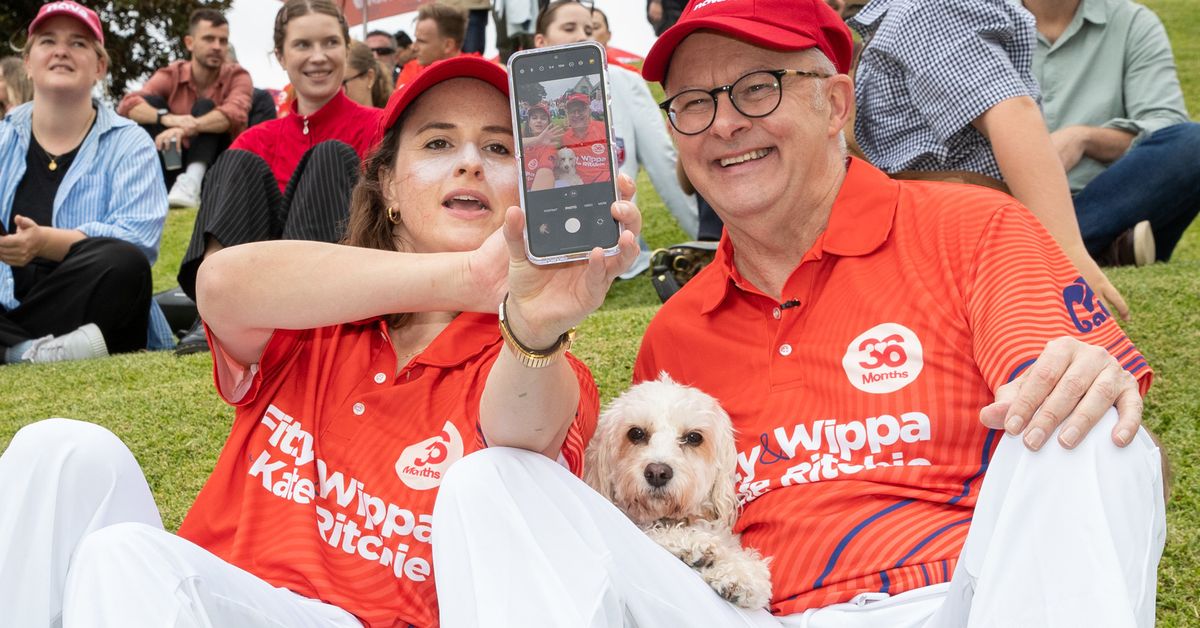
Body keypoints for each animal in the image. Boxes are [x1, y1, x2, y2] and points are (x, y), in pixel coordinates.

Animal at [585, 374, 772, 609]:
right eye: (636, 433)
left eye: (694, 437)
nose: (657, 473)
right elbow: (651, 532)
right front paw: (692, 543)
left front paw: (741, 574)